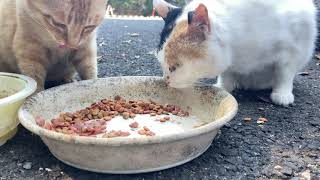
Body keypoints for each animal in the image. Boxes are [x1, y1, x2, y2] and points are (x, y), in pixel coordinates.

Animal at [154, 0, 318, 105]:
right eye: (162, 64)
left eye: (175, 66)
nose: (165, 81)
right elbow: (227, 72)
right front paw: (222, 87)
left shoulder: (292, 48)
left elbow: (284, 73)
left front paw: (282, 94)